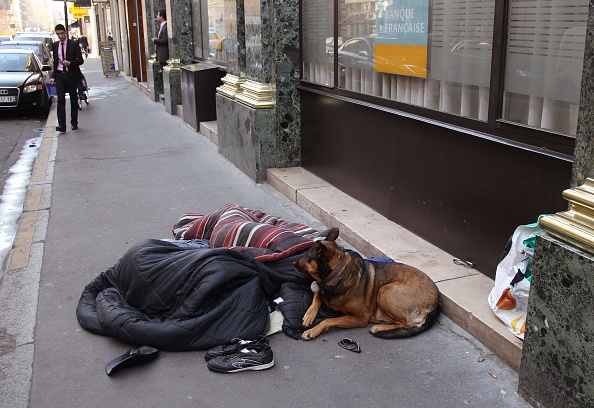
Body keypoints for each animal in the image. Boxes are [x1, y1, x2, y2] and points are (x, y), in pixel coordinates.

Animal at [294, 228, 438, 340]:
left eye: (308, 257)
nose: (294, 263)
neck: (336, 273)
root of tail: (436, 303)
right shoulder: (322, 289)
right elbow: (317, 296)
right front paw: (308, 316)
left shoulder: (360, 318)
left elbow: (329, 320)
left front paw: (313, 330)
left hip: (385, 290)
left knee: (406, 324)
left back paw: (380, 327)